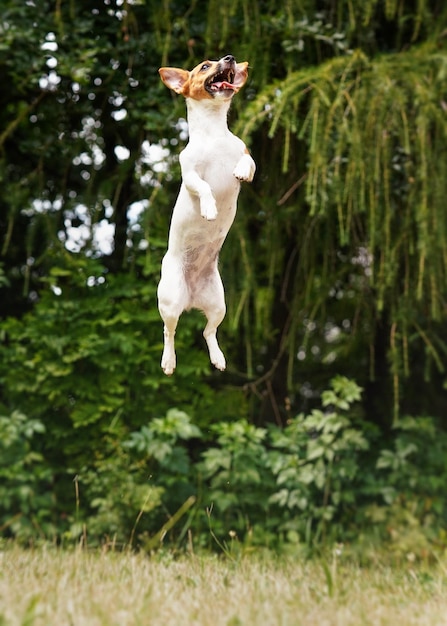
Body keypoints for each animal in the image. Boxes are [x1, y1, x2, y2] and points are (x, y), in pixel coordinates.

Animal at [158, 53, 256, 372]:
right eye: (204, 66)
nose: (230, 57)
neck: (214, 133)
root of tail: (191, 299)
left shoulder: (246, 154)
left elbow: (248, 164)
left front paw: (240, 173)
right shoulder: (190, 174)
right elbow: (203, 187)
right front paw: (210, 208)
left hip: (218, 305)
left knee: (208, 331)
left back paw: (218, 358)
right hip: (170, 301)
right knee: (169, 331)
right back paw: (168, 361)